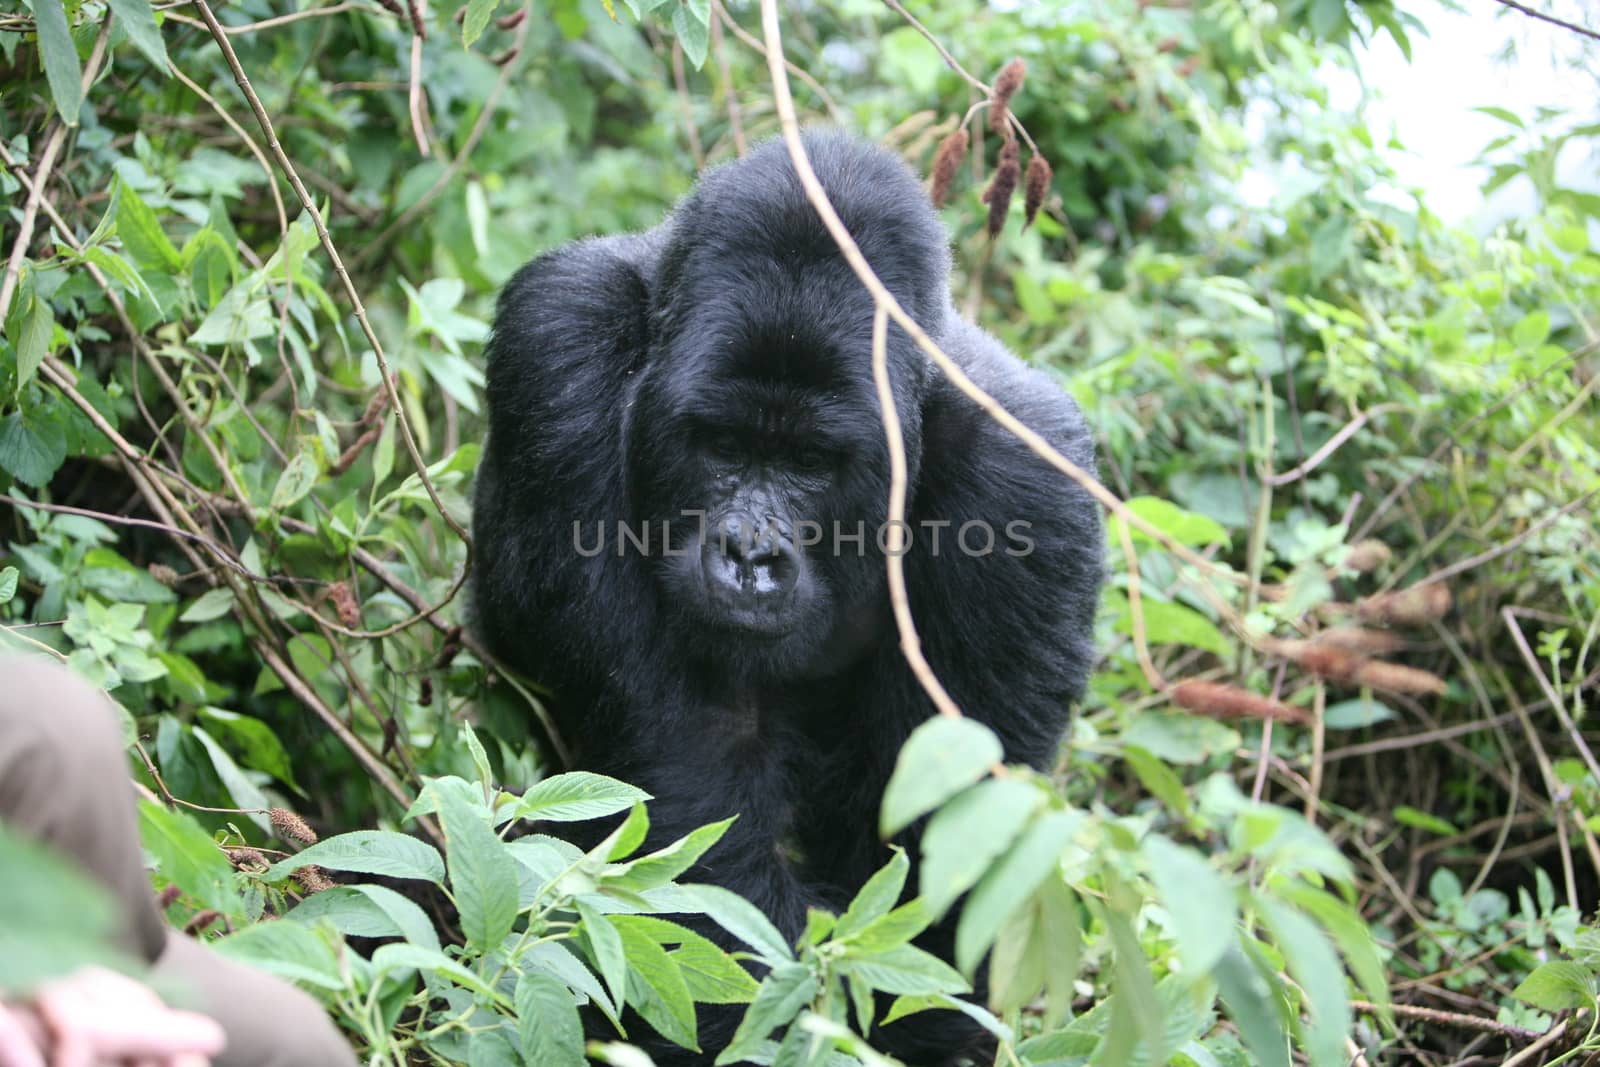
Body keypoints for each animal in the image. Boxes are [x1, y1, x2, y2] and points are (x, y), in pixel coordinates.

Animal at [467, 131, 1107, 1062]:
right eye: (725, 446)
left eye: (809, 463)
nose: (749, 554)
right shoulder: (557, 340)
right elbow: (693, 836)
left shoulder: (1030, 479)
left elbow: (940, 884)